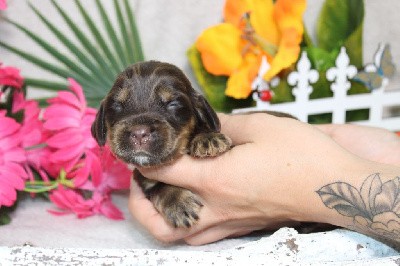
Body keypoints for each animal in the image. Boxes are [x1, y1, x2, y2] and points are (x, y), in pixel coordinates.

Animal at [91, 61, 231, 228]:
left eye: (173, 104)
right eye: (117, 105)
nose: (139, 133)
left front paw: (208, 138)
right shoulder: (144, 178)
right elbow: (159, 185)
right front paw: (177, 202)